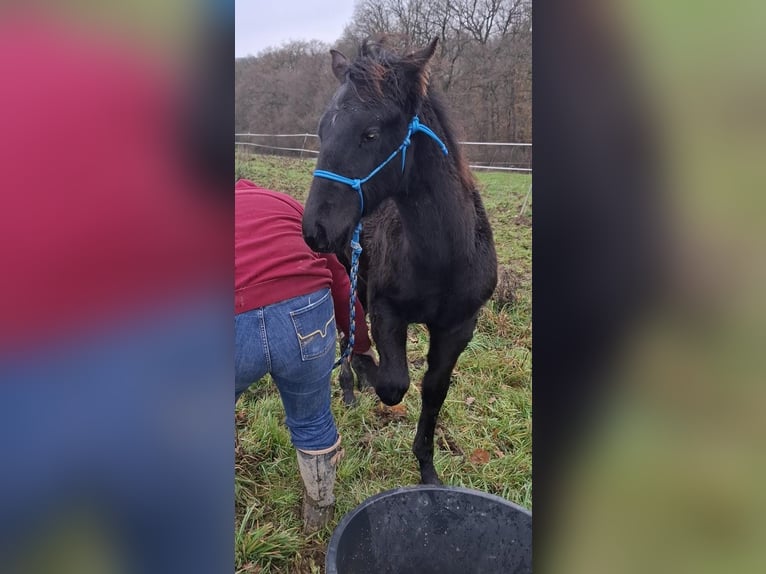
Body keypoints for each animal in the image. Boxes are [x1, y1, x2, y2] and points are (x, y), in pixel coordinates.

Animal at [302, 37, 498, 485]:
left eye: (370, 133)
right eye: (322, 131)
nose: (315, 230)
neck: (444, 257)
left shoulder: (459, 327)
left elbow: (432, 390)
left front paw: (427, 469)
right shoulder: (386, 310)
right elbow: (392, 384)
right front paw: (364, 370)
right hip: (350, 273)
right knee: (347, 326)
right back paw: (350, 385)